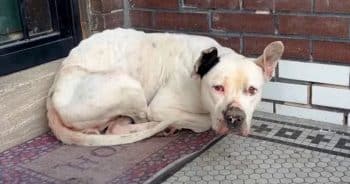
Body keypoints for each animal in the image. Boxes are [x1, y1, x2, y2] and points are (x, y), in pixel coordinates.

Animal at [46, 28, 284, 146]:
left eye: (252, 90)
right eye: (217, 88)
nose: (234, 117)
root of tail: (52, 91)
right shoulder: (161, 107)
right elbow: (205, 122)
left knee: (114, 127)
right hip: (129, 85)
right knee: (132, 122)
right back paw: (161, 128)